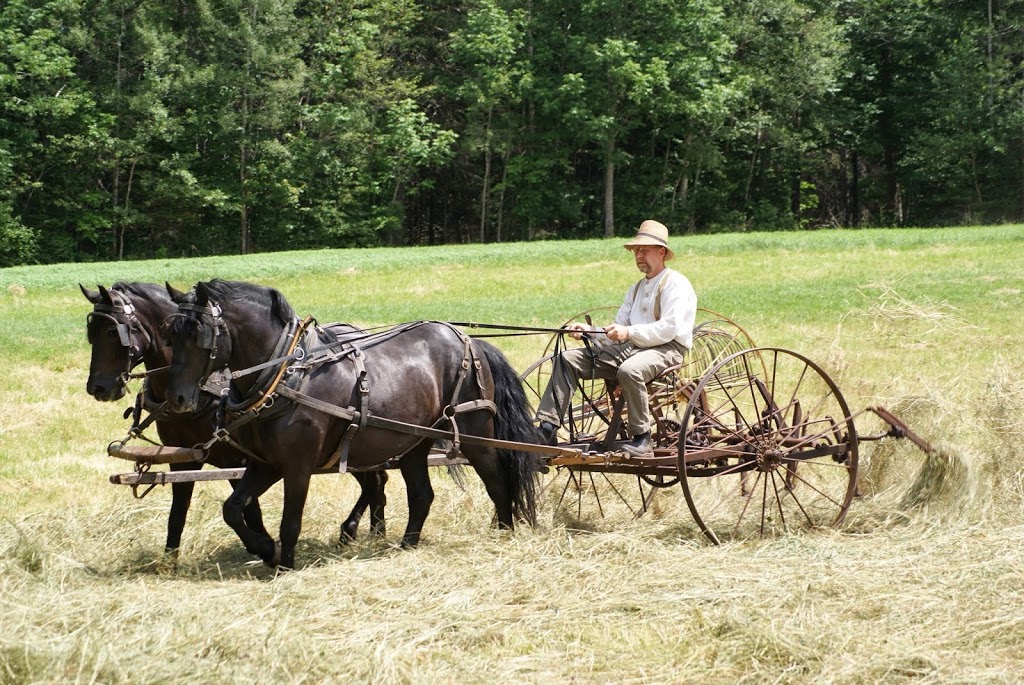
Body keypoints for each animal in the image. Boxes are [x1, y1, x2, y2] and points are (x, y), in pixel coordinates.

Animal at [82, 282, 387, 557]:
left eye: (112, 332)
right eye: (91, 334)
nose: (98, 388)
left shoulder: (237, 459)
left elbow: (250, 511)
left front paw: (267, 548)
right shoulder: (183, 458)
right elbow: (178, 513)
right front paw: (169, 559)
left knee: (375, 479)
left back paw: (356, 528)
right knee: (376, 479)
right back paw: (374, 529)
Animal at [161, 278, 544, 565]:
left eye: (197, 333)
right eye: (171, 333)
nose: (177, 398)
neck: (285, 374)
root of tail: (470, 340)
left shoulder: (298, 466)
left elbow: (290, 522)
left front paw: (284, 563)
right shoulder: (265, 464)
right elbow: (232, 509)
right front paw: (266, 550)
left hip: (476, 432)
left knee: (497, 480)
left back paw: (504, 533)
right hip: (413, 443)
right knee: (422, 494)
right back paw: (406, 546)